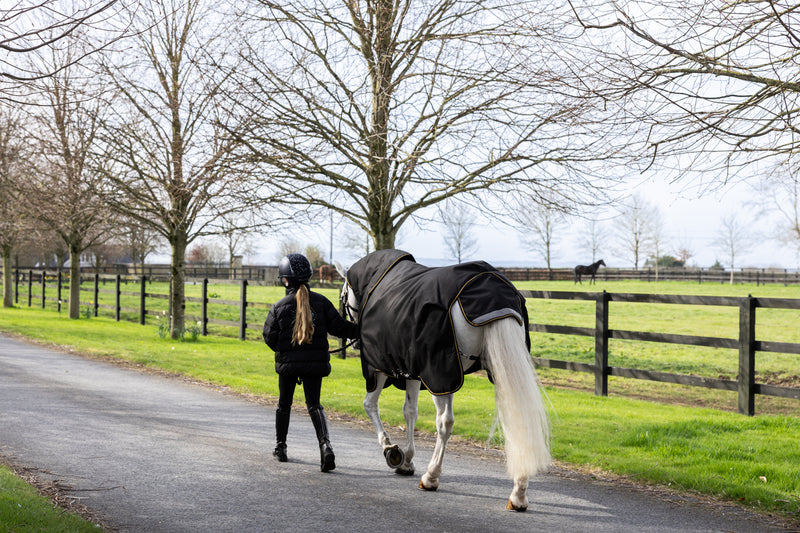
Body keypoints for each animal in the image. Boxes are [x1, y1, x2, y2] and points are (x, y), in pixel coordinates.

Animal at [337, 250, 550, 511]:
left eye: (343, 298)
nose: (354, 341)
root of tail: (494, 292)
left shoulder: (381, 367)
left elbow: (370, 405)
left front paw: (391, 449)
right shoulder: (412, 370)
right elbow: (410, 411)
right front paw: (407, 460)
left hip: (441, 375)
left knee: (444, 423)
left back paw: (431, 477)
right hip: (500, 368)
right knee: (516, 418)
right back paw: (518, 494)